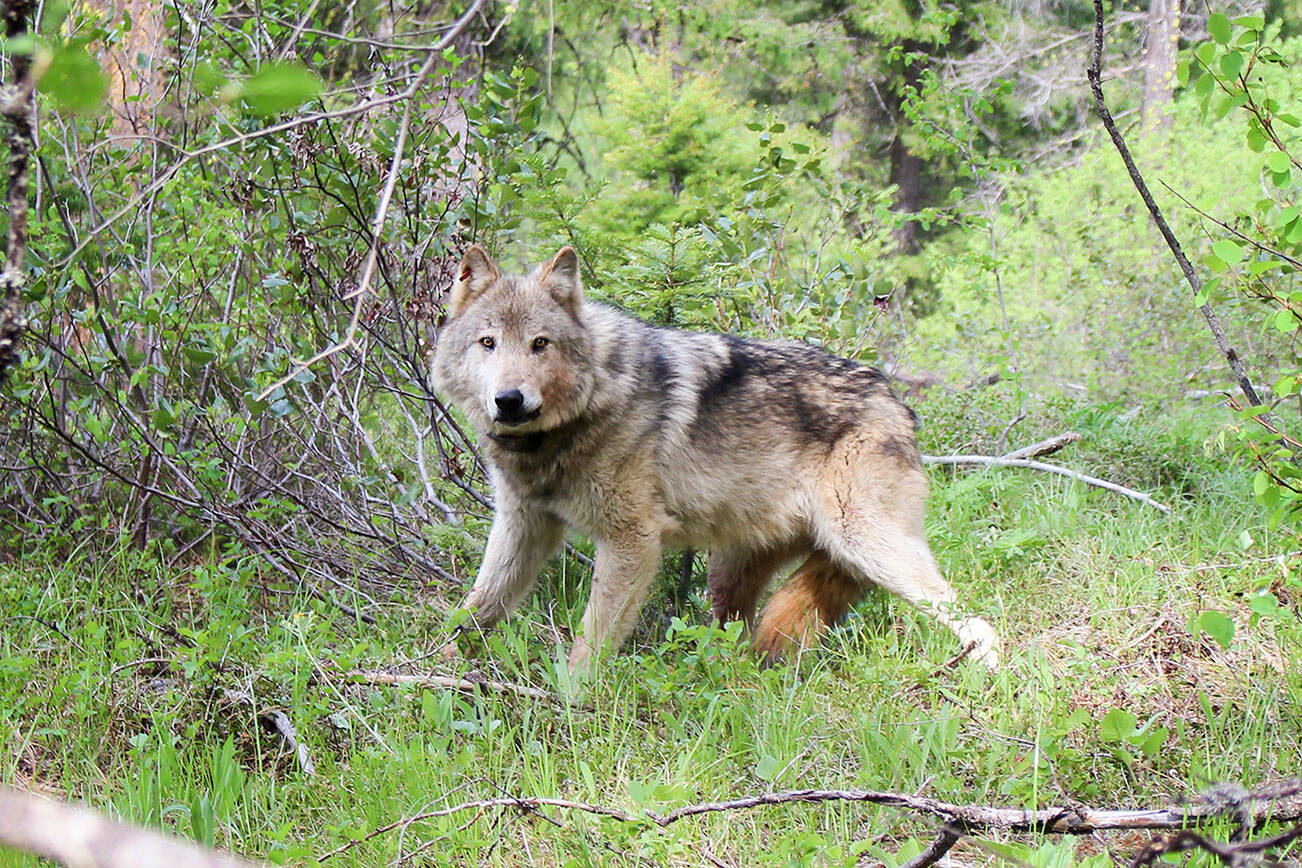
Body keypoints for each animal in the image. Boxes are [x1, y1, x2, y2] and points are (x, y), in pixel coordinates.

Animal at [427, 247, 994, 676]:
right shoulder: (522, 525)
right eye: (488, 342)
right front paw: (434, 667)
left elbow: (592, 641)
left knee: (977, 619)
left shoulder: (633, 540)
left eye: (539, 344)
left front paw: (571, 702)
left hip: (866, 545)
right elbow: (476, 608)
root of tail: (897, 401)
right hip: (734, 573)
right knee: (737, 637)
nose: (509, 400)